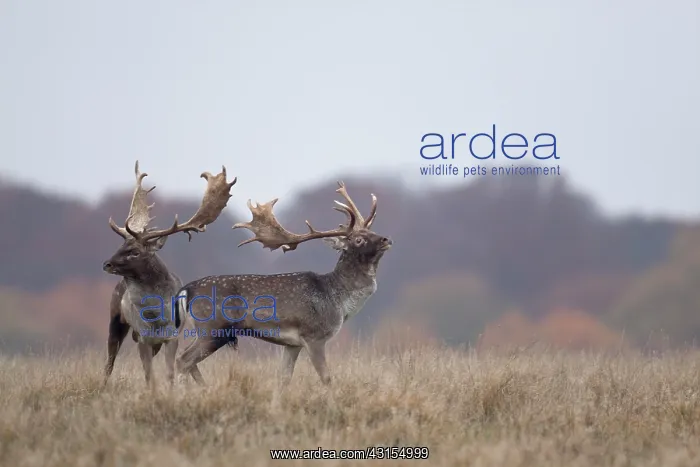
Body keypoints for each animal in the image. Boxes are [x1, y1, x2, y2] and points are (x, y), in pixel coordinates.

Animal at [101, 161, 238, 389]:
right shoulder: (143, 337)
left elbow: (169, 372)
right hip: (115, 319)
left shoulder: (171, 337)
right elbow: (149, 375)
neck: (156, 318)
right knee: (109, 361)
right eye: (121, 245)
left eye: (135, 251)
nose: (107, 263)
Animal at [174, 181, 392, 385]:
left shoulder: (292, 344)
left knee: (186, 360)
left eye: (370, 232)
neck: (337, 299)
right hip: (213, 328)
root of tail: (186, 290)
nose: (386, 239)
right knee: (183, 359)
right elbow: (326, 377)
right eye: (358, 239)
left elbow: (284, 378)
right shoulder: (314, 335)